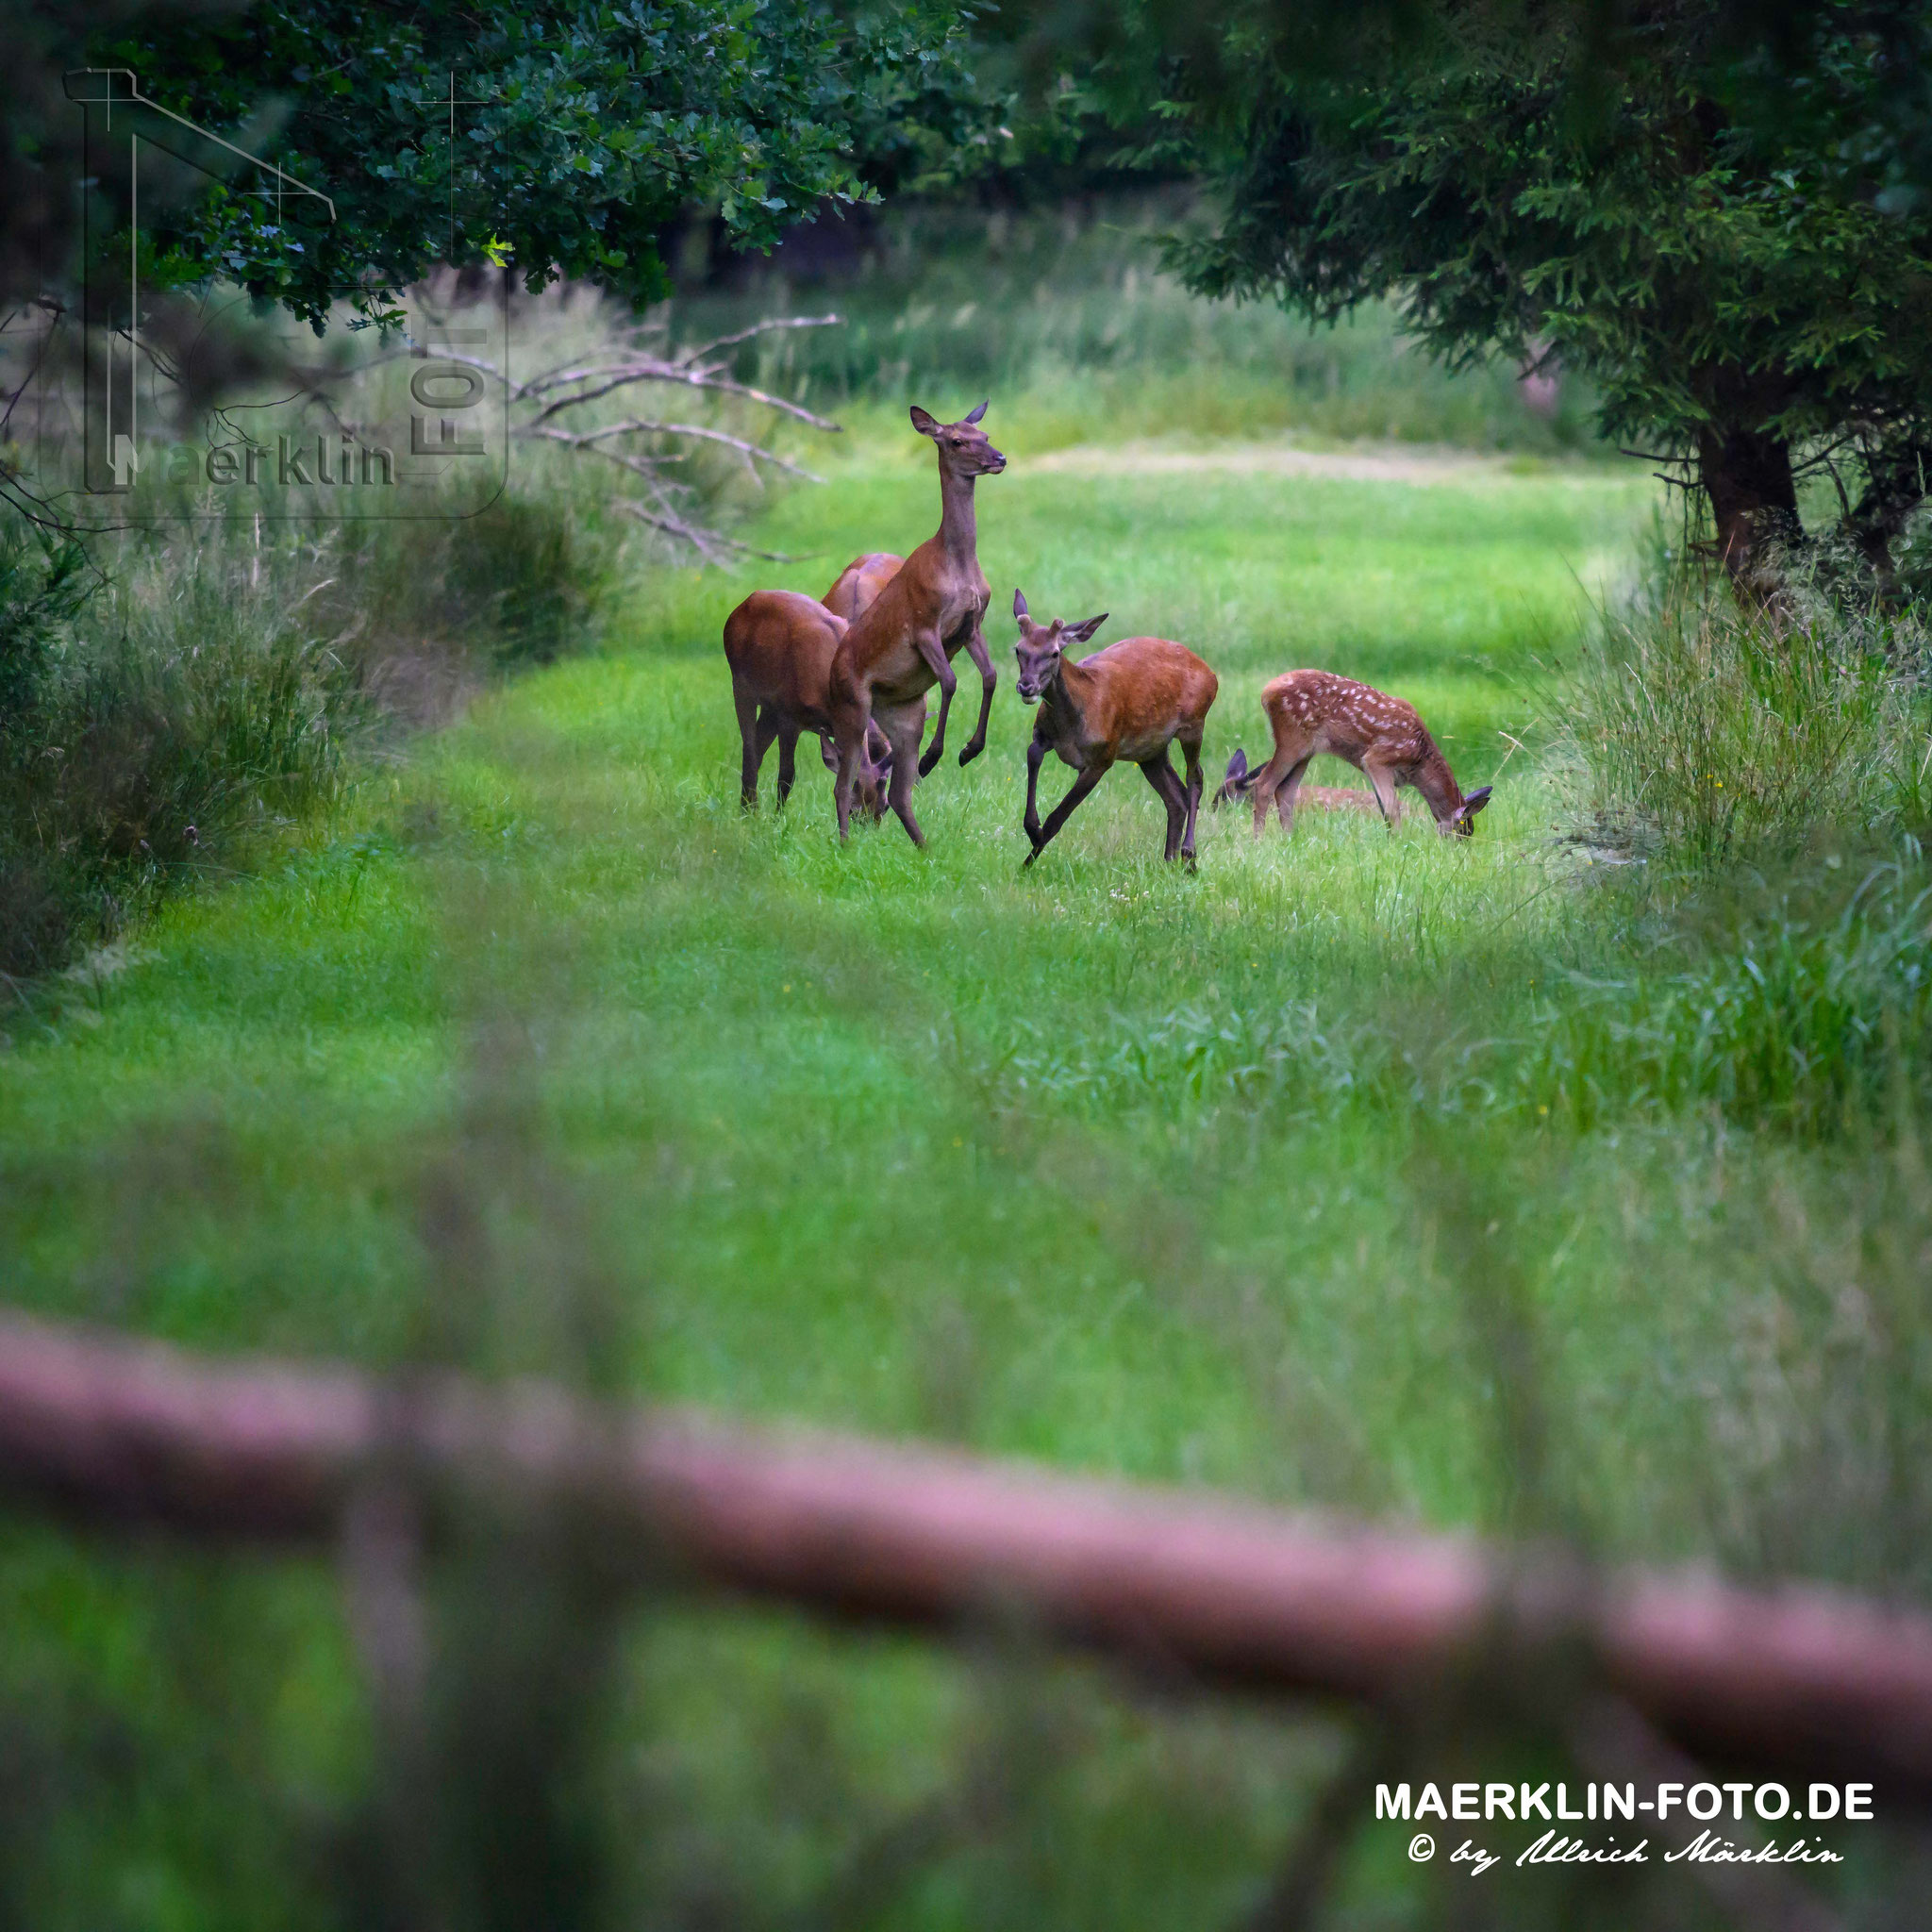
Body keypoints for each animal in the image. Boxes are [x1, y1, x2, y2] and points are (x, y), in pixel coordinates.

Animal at [726, 587, 896, 815]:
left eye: (885, 807)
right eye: (853, 809)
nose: (866, 825)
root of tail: (743, 604)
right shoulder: (789, 715)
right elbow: (787, 775)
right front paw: (777, 818)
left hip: (771, 706)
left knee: (756, 748)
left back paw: (747, 809)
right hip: (741, 683)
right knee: (749, 748)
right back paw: (751, 811)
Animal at [830, 401, 1012, 846]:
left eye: (984, 435)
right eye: (957, 440)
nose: (999, 458)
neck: (957, 566)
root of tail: (830, 673)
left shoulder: (972, 625)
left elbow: (990, 677)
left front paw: (969, 750)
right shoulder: (923, 624)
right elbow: (950, 681)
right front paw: (936, 756)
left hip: (902, 715)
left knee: (897, 792)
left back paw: (923, 847)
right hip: (851, 705)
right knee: (842, 784)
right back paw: (845, 844)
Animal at [1020, 583, 1213, 865]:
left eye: (1054, 653)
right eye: (1018, 649)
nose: (1026, 686)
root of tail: (1211, 674)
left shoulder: (1103, 755)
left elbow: (1059, 817)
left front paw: (1028, 860)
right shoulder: (1041, 734)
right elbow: (1033, 755)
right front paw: (1032, 829)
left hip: (1194, 724)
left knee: (1195, 778)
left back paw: (1188, 854)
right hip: (1151, 749)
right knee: (1176, 796)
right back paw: (1169, 860)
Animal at [1221, 672, 1491, 838]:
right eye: (1464, 830)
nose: (1459, 849)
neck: (1419, 760)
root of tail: (1266, 692)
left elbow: (1384, 812)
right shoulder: (1377, 758)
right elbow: (1393, 810)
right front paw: (1400, 843)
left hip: (1306, 750)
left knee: (1285, 791)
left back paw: (1288, 838)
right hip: (1292, 739)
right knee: (1265, 784)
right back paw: (1259, 840)